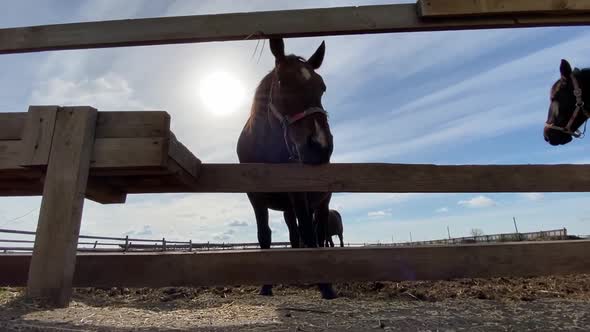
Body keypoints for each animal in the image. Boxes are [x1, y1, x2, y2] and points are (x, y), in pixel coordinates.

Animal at [236, 37, 338, 300]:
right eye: (282, 82)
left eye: (322, 87)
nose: (320, 146)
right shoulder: (255, 197)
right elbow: (264, 235)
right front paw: (266, 286)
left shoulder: (299, 193)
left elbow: (309, 235)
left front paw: (326, 286)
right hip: (287, 209)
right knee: (295, 234)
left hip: (321, 204)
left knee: (318, 232)